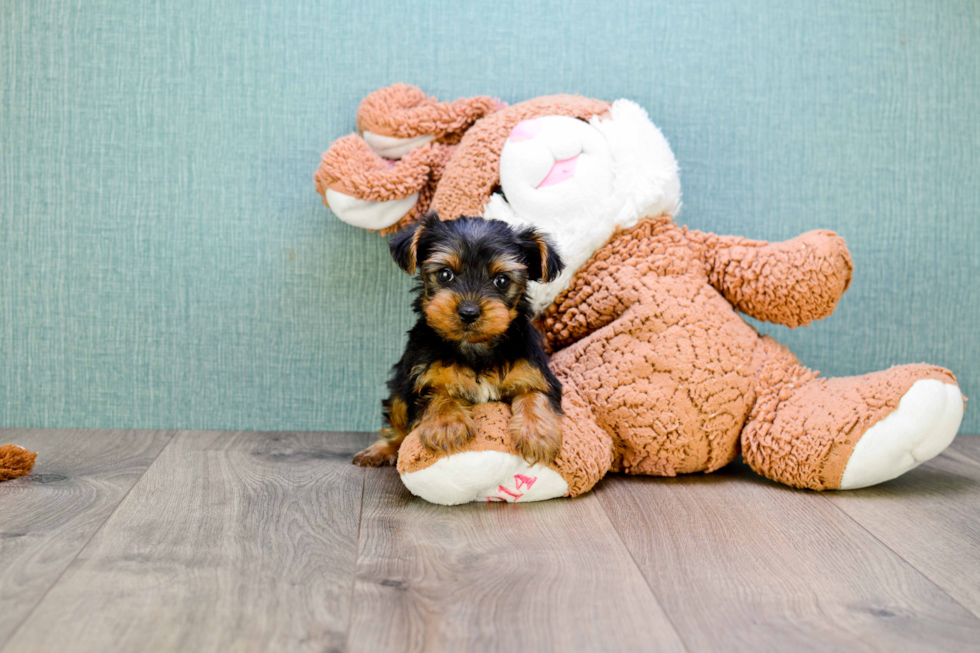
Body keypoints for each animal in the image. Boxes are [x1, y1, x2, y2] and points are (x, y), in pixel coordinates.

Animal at [356, 214, 564, 468]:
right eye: (445, 274)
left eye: (502, 280)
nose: (468, 312)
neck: (474, 346)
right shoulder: (422, 376)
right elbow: (437, 394)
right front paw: (446, 426)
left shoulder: (534, 371)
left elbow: (535, 394)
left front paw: (536, 433)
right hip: (400, 382)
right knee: (397, 415)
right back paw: (381, 449)